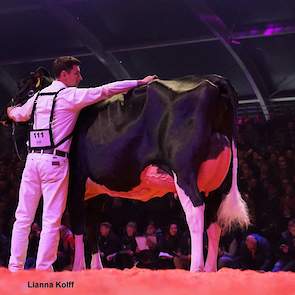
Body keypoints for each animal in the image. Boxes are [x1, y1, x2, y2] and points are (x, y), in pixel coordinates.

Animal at [67, 75, 250, 274]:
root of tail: (214, 79)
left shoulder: (75, 182)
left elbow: (77, 225)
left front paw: (78, 268)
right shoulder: (96, 191)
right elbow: (92, 225)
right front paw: (96, 268)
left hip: (184, 172)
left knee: (195, 212)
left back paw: (196, 267)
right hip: (217, 180)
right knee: (214, 223)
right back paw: (210, 269)